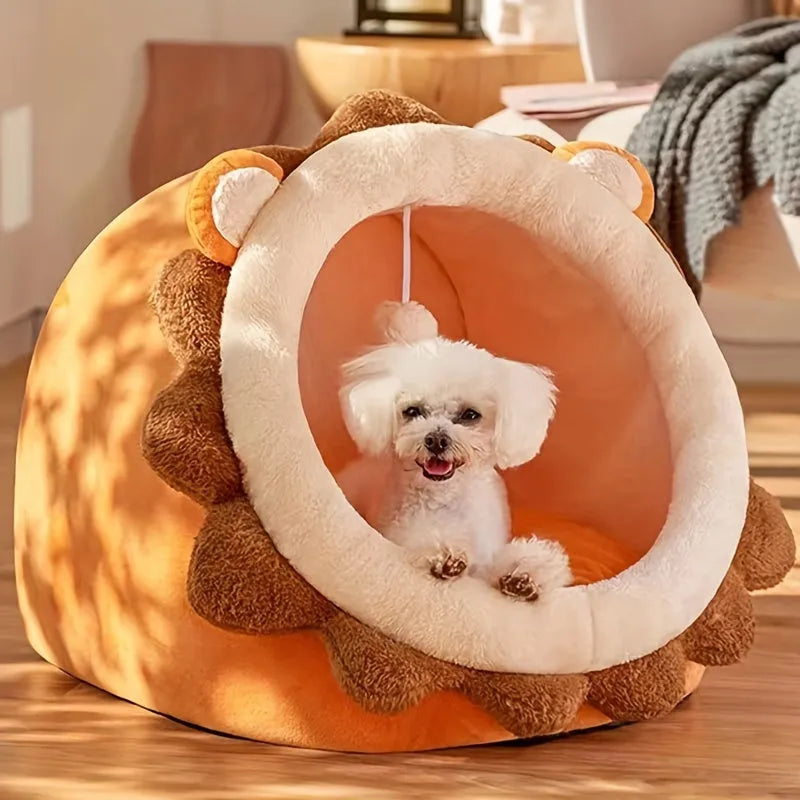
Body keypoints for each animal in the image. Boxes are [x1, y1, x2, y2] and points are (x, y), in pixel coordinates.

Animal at [340, 302, 572, 600]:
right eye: (413, 411)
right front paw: (445, 554)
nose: (437, 440)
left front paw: (525, 572)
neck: (445, 499)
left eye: (470, 415)